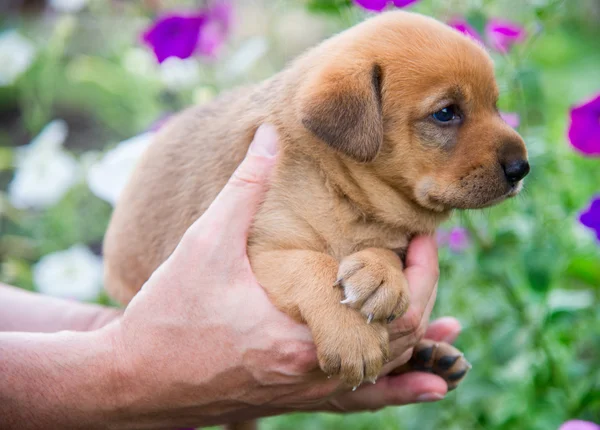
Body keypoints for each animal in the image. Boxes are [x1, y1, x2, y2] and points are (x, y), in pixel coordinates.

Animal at [105, 10, 528, 404]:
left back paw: (431, 358)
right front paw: (353, 334)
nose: (523, 168)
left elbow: (380, 252)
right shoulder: (255, 251)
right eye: (446, 113)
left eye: (495, 106)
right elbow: (311, 264)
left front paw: (380, 274)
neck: (344, 194)